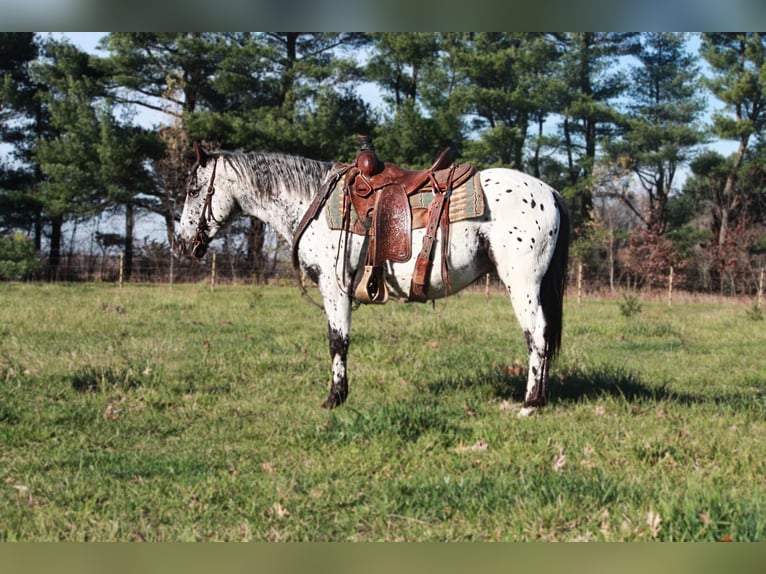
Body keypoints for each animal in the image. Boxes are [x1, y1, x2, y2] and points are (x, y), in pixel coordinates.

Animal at [176, 142, 568, 416]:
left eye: (194, 190)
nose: (181, 243)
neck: (313, 202)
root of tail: (549, 192)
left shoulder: (333, 287)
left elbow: (338, 341)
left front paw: (334, 398)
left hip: (522, 283)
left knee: (537, 335)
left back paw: (530, 404)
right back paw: (542, 398)